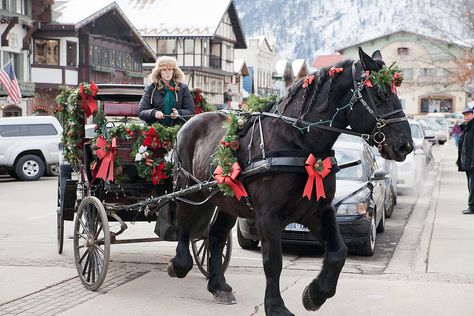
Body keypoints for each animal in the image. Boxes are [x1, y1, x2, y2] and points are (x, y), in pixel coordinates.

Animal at [168, 48, 412, 314]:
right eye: (380, 94)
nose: (406, 144)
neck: (297, 142)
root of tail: (190, 122)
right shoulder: (268, 216)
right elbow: (273, 261)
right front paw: (276, 306)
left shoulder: (318, 210)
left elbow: (339, 252)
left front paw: (315, 294)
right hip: (188, 190)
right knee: (184, 224)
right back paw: (179, 264)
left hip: (227, 200)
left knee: (215, 236)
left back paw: (219, 286)